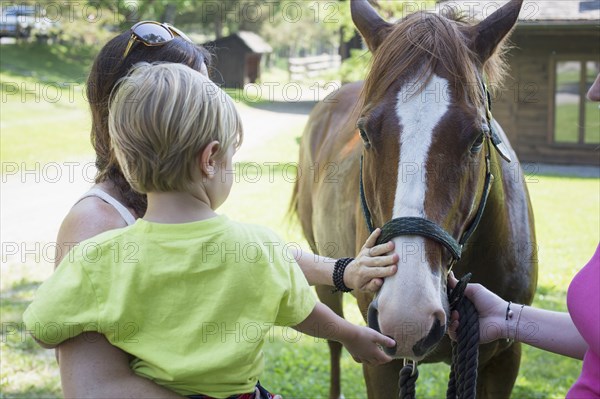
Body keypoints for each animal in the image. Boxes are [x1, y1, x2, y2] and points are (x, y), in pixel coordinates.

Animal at [288, 0, 536, 399]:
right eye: (364, 133)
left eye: (477, 139)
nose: (407, 316)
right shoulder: (380, 361)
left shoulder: (504, 359)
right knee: (334, 344)